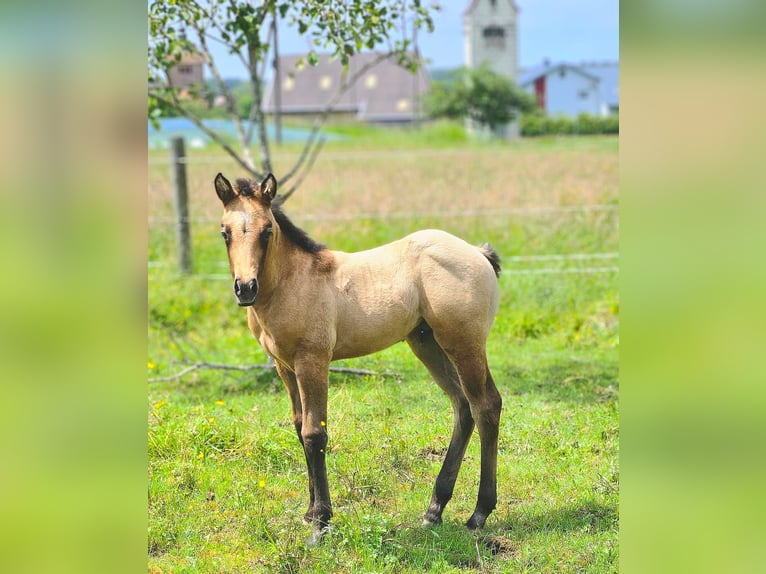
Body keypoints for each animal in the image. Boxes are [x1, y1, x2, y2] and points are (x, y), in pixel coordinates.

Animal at [214, 173, 504, 548]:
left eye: (266, 231)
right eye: (225, 232)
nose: (245, 288)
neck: (292, 283)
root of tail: (477, 253)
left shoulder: (313, 360)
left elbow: (314, 434)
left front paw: (320, 524)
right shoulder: (284, 366)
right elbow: (298, 427)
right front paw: (309, 513)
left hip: (464, 343)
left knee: (486, 405)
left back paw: (479, 514)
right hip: (427, 344)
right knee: (463, 406)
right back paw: (434, 510)